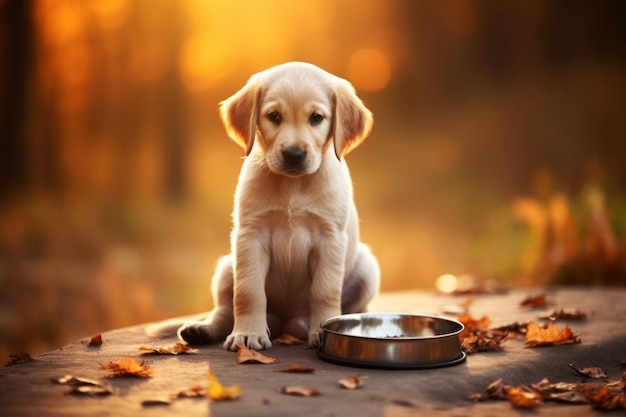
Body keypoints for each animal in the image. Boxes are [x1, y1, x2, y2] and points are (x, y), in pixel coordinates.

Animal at [147, 61, 380, 348]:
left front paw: (322, 331)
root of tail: (287, 321)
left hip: (368, 269)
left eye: (316, 118)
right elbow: (248, 292)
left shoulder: (330, 238)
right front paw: (248, 334)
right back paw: (204, 329)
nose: (294, 154)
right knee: (225, 309)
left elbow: (325, 291)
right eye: (274, 116)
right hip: (227, 265)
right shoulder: (250, 236)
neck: (293, 185)